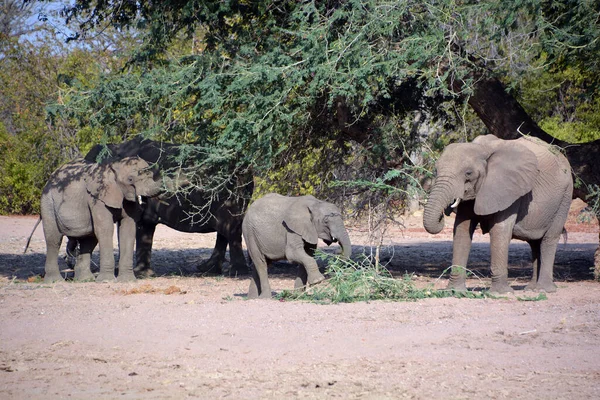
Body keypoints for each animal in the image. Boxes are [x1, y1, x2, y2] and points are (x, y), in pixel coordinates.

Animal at [84, 136, 253, 276]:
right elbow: (144, 225)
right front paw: (144, 273)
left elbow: (140, 224)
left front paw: (139, 273)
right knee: (225, 231)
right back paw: (207, 270)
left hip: (228, 194)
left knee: (230, 229)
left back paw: (236, 273)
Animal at [422, 134, 572, 294]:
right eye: (436, 170)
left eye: (468, 173)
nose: (444, 214)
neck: (483, 149)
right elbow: (462, 229)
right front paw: (455, 292)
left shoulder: (508, 188)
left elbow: (499, 230)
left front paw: (500, 293)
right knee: (534, 242)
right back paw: (531, 288)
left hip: (565, 196)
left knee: (549, 239)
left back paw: (543, 290)